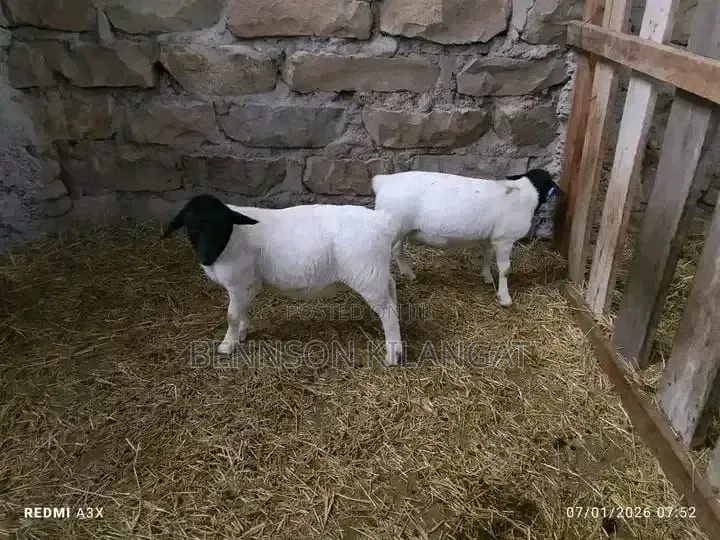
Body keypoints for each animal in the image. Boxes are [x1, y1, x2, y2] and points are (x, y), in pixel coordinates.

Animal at [162, 194, 404, 366]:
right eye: (190, 226)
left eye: (222, 225)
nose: (206, 258)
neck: (231, 239)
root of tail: (383, 222)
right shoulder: (246, 283)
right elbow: (241, 310)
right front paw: (242, 332)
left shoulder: (239, 281)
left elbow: (231, 315)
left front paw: (227, 345)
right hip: (376, 272)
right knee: (391, 290)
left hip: (366, 274)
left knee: (388, 312)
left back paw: (393, 353)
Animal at [371, 168, 562, 307]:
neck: (526, 194)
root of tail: (382, 181)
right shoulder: (504, 239)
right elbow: (505, 269)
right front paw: (505, 298)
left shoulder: (492, 237)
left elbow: (487, 255)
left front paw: (486, 276)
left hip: (402, 229)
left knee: (397, 250)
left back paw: (409, 274)